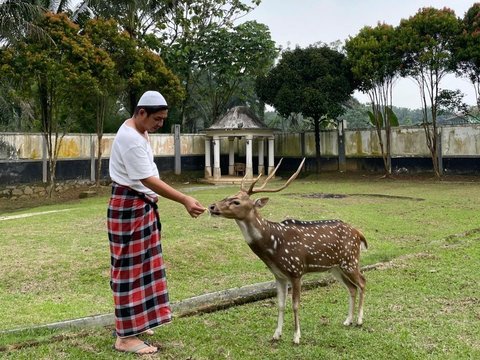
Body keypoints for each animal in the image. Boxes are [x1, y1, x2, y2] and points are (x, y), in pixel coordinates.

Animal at [207, 159, 368, 344]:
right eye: (228, 196)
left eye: (237, 202)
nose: (211, 206)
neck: (273, 247)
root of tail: (359, 233)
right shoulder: (279, 275)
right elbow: (281, 304)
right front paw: (276, 334)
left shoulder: (296, 270)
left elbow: (295, 304)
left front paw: (296, 336)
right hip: (336, 267)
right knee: (352, 288)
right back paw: (347, 320)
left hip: (350, 260)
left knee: (362, 282)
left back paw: (359, 320)